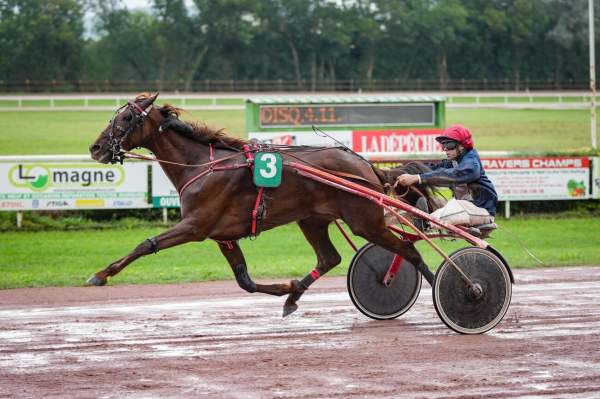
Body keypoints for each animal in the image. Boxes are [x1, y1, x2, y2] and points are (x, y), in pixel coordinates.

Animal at [86, 92, 438, 318]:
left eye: (126, 117)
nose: (96, 147)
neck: (201, 165)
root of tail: (366, 166)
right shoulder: (223, 236)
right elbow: (245, 280)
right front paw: (285, 287)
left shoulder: (195, 226)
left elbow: (147, 244)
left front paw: (101, 274)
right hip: (312, 219)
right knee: (330, 258)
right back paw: (293, 297)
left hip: (365, 220)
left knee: (408, 249)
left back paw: (446, 286)